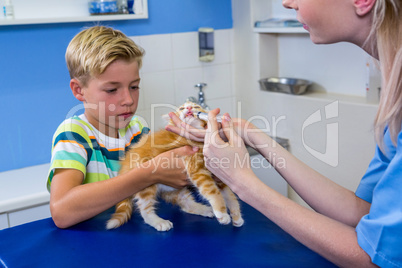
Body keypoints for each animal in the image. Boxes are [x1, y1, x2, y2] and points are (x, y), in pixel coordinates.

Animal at [107, 101, 243, 231]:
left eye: (196, 106)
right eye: (182, 108)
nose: (189, 108)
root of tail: (125, 164)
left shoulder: (217, 174)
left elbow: (230, 195)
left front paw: (237, 216)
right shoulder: (196, 169)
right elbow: (212, 191)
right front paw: (222, 213)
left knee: (184, 202)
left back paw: (204, 209)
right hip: (145, 182)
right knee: (145, 208)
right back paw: (158, 221)